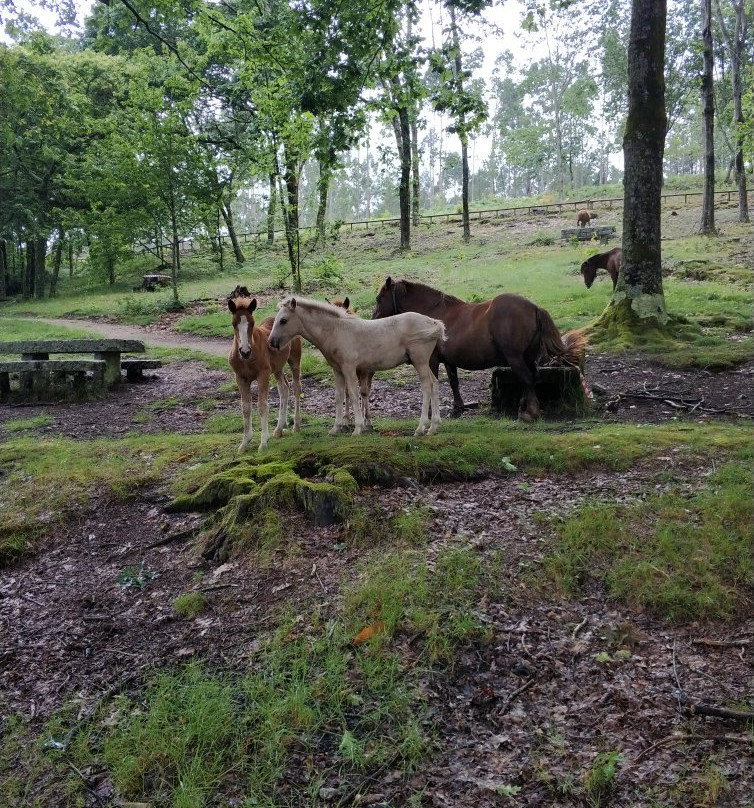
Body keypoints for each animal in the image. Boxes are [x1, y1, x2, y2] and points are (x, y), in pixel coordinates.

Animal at [226, 286, 302, 452]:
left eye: (252, 323)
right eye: (233, 324)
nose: (245, 351)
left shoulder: (263, 375)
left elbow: (262, 405)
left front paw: (263, 443)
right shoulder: (240, 378)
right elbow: (245, 407)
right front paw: (244, 443)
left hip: (294, 361)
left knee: (296, 388)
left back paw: (296, 426)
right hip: (277, 368)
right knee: (284, 389)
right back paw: (279, 429)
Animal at [268, 296, 444, 436]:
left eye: (283, 320)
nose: (271, 342)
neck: (336, 331)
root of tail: (433, 322)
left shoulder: (349, 368)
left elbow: (353, 394)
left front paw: (358, 428)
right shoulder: (337, 370)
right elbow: (339, 396)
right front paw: (336, 428)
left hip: (419, 361)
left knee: (426, 386)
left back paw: (420, 428)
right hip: (422, 362)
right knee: (435, 383)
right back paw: (433, 427)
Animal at [374, 278, 584, 422]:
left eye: (379, 298)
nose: (373, 318)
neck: (432, 314)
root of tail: (534, 307)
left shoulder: (431, 360)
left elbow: (432, 384)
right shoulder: (449, 361)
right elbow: (454, 383)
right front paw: (457, 409)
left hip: (515, 357)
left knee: (526, 379)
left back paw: (530, 412)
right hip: (527, 357)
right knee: (531, 379)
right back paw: (523, 407)